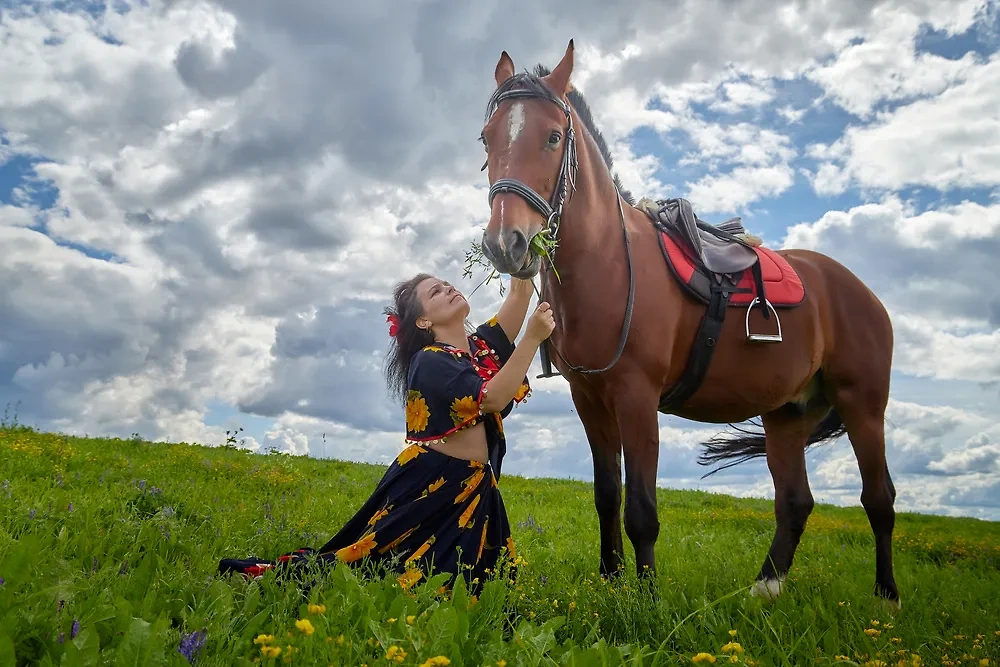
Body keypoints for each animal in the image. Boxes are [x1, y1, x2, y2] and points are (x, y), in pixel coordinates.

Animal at [474, 39, 900, 608]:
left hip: (862, 404)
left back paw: (887, 597)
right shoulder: (590, 402)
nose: (507, 242)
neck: (611, 262)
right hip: (787, 414)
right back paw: (765, 587)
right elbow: (606, 497)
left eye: (553, 137)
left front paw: (646, 600)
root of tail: (861, 292)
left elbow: (641, 511)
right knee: (795, 502)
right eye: (488, 137)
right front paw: (610, 582)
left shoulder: (637, 398)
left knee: (879, 499)